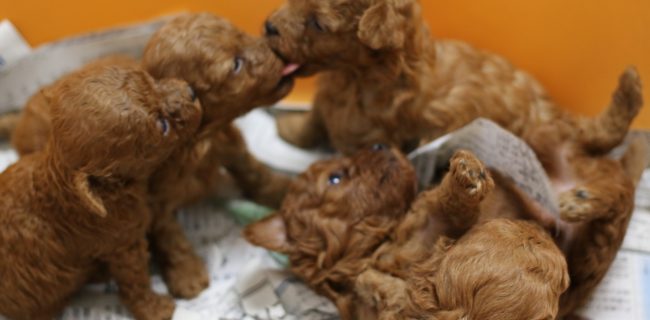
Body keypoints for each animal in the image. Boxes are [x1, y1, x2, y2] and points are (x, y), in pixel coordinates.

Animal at [0, 63, 201, 320]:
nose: (192, 92)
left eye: (151, 78)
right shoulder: (123, 244)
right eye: (162, 126)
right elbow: (136, 280)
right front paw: (156, 308)